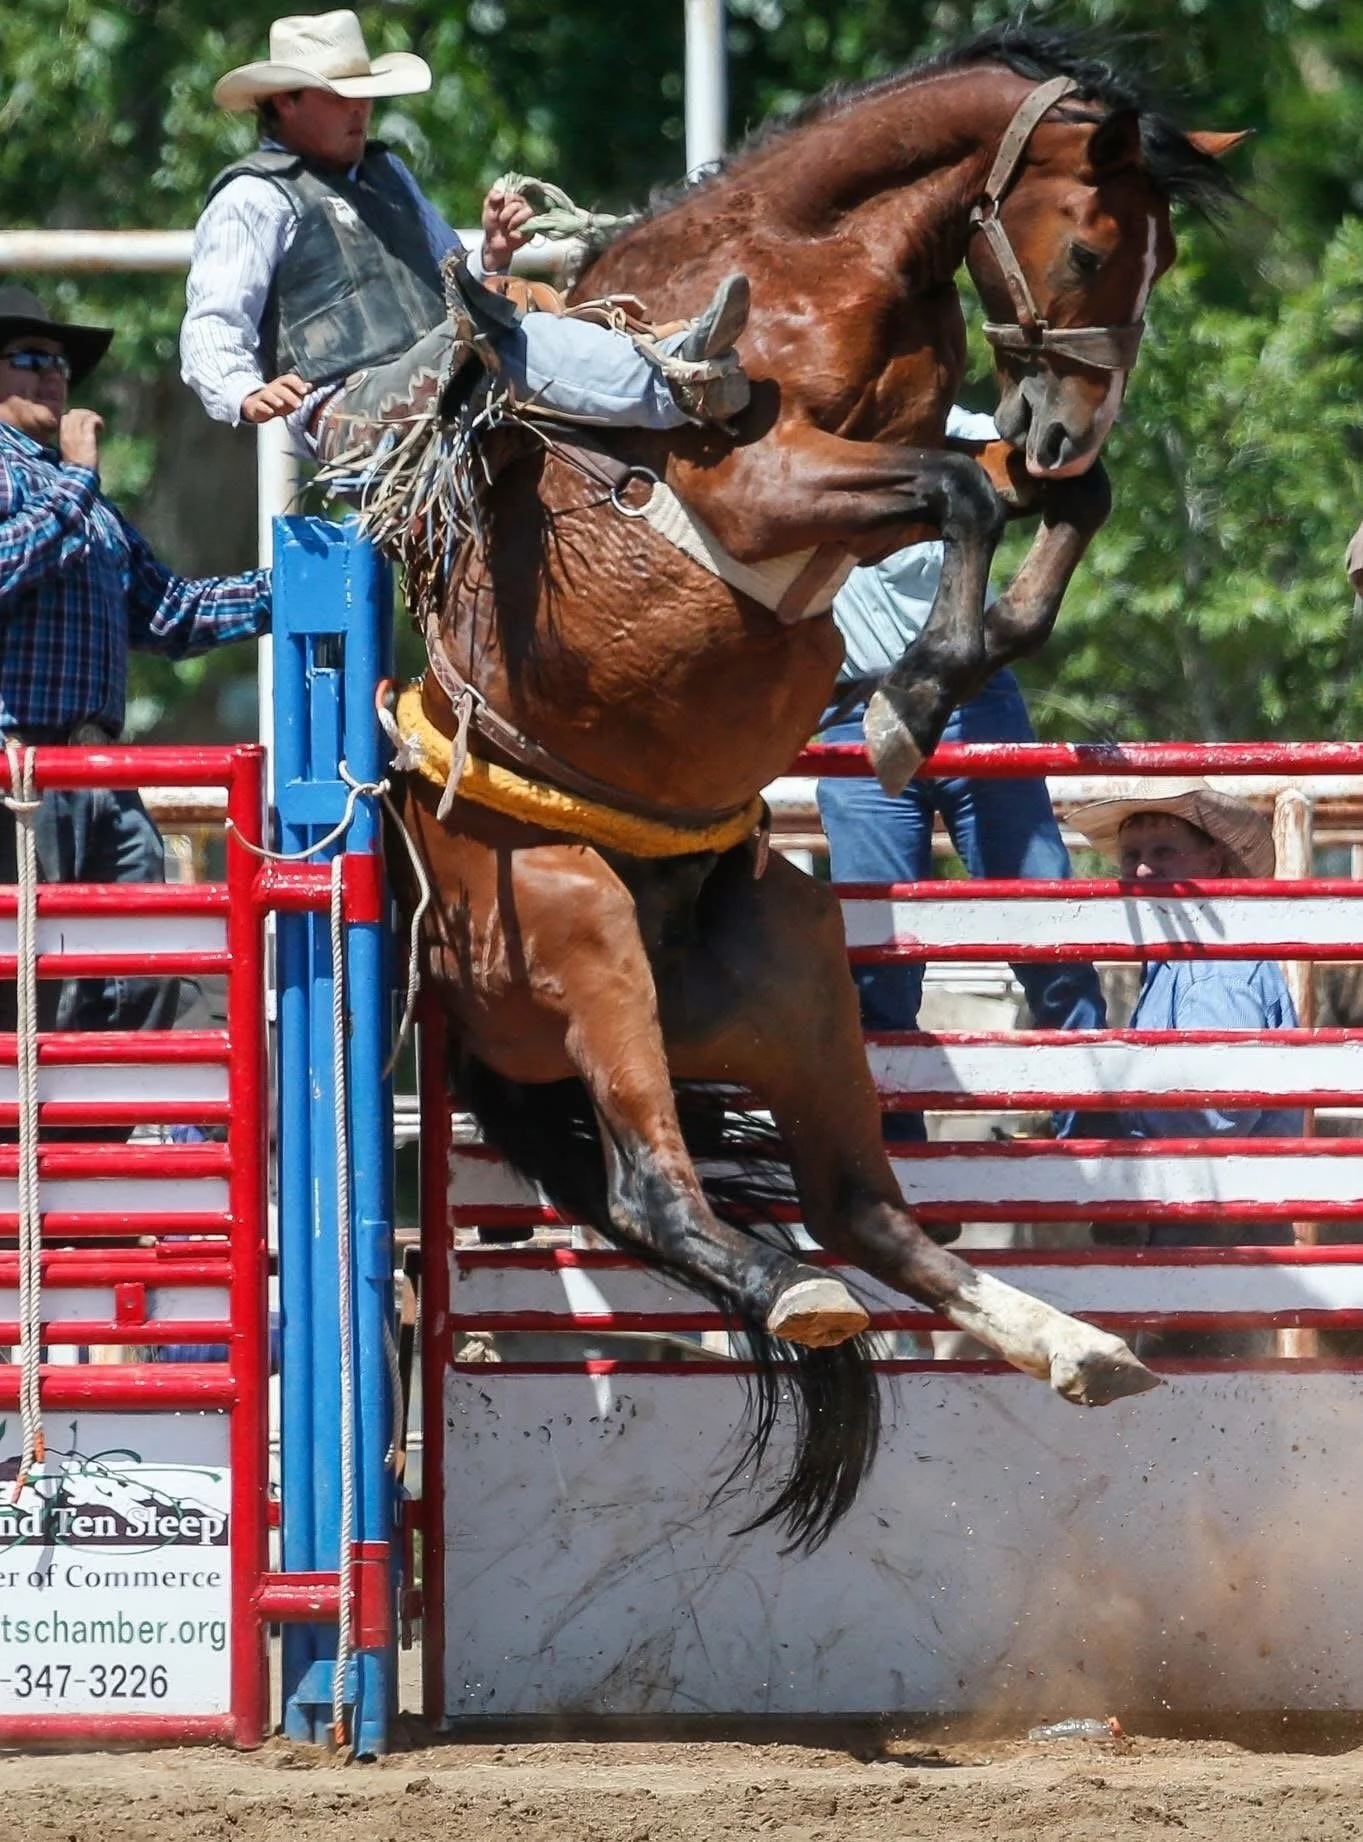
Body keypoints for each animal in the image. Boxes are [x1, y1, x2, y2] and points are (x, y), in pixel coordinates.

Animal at [387, 25, 1243, 1549]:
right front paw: (911, 698)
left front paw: (954, 664)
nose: (1068, 421)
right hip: (578, 934)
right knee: (656, 1192)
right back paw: (797, 1294)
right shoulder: (763, 486)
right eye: (1088, 248)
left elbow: (1032, 500)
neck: (800, 267)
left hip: (790, 971)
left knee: (859, 1207)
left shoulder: (932, 446)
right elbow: (966, 499)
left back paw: (1071, 1343)